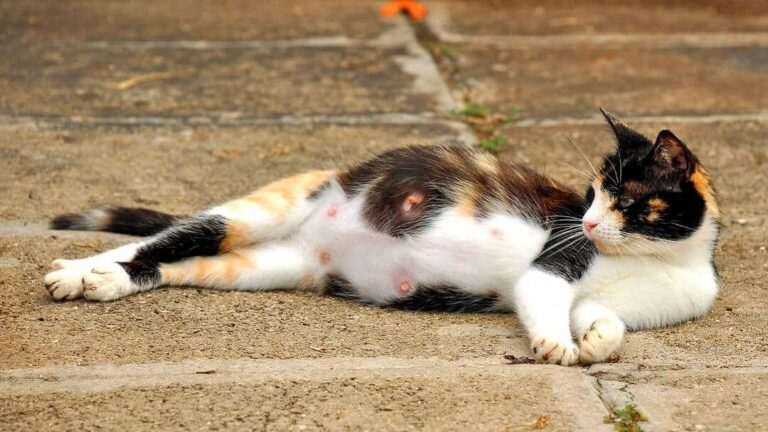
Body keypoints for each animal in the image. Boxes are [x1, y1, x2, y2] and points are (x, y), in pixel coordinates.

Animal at [43, 109, 720, 366]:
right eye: (592, 194)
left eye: (625, 201)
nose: (586, 222)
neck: (664, 260)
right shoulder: (554, 264)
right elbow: (544, 297)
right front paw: (554, 343)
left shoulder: (607, 297)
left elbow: (606, 322)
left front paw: (596, 341)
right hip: (268, 207)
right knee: (177, 234)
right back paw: (85, 271)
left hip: (266, 265)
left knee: (187, 260)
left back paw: (101, 280)